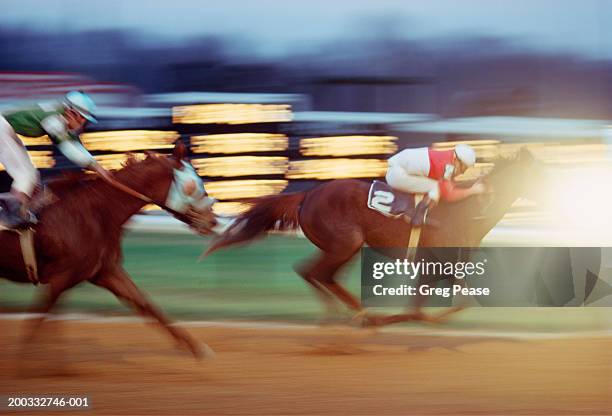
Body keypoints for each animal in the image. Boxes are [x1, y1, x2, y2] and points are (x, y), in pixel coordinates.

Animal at [0, 142, 219, 358]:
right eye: (194, 185)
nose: (213, 221)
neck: (95, 212)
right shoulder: (61, 278)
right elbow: (37, 321)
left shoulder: (105, 271)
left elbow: (147, 304)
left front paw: (198, 348)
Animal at [206, 148, 544, 324]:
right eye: (540, 172)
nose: (552, 189)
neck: (467, 210)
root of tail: (308, 195)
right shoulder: (433, 265)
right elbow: (424, 310)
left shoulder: (440, 269)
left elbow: (443, 306)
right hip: (346, 242)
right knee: (316, 272)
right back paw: (359, 315)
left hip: (344, 246)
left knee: (316, 273)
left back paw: (347, 315)